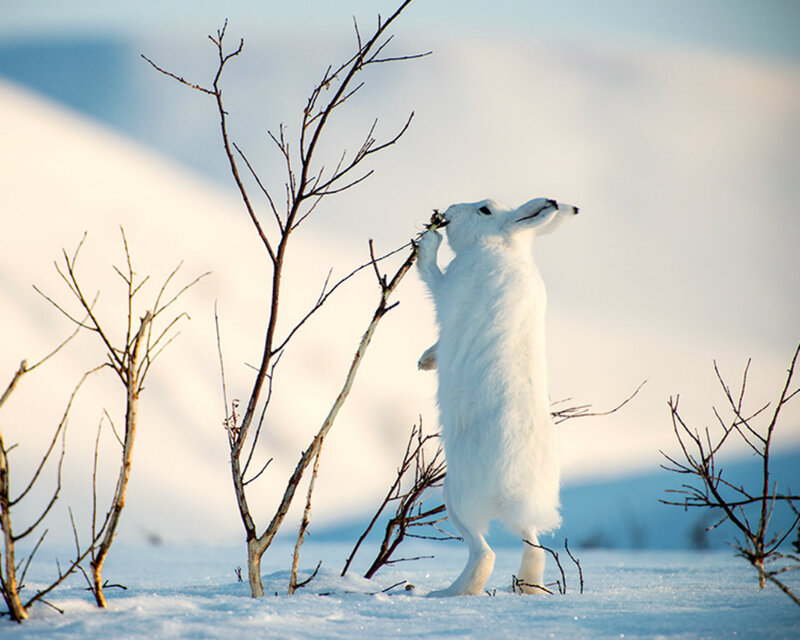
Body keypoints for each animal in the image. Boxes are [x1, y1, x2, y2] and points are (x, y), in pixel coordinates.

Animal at [416, 197, 579, 596]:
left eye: (485, 210)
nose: (449, 210)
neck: (501, 247)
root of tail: (515, 489)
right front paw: (426, 360)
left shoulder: (453, 284)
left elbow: (433, 277)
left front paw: (428, 243)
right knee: (532, 545)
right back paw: (528, 587)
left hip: (455, 495)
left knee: (483, 551)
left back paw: (448, 592)